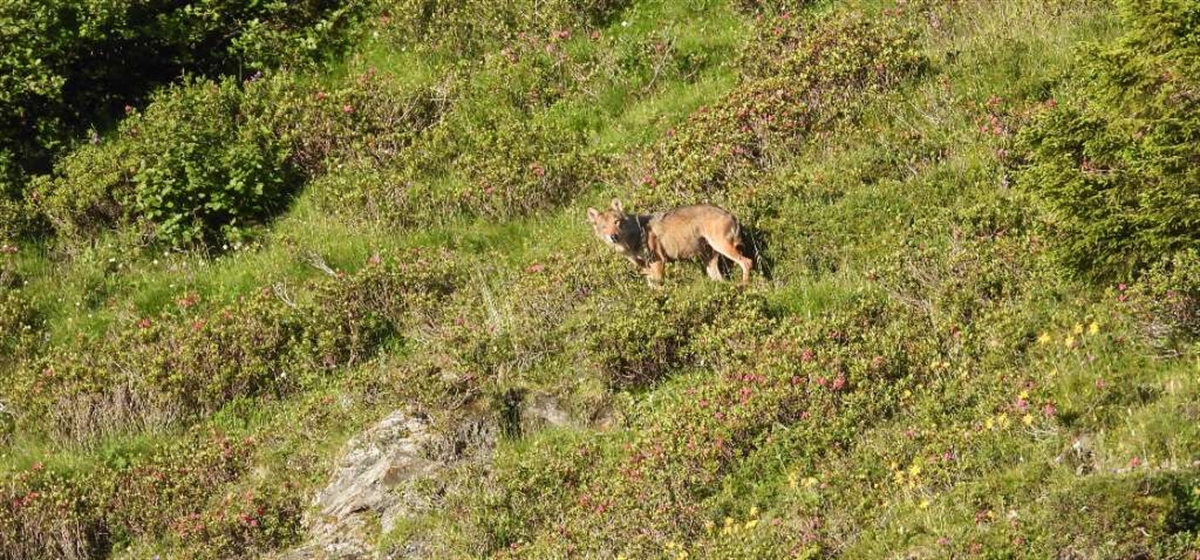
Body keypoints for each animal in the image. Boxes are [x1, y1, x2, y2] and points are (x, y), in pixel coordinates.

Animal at [586, 199, 753, 285]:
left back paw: (744, 285)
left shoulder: (658, 263)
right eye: (604, 227)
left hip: (722, 247)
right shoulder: (647, 269)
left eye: (617, 222)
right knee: (720, 278)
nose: (613, 236)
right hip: (709, 259)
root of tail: (731, 214)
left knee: (747, 262)